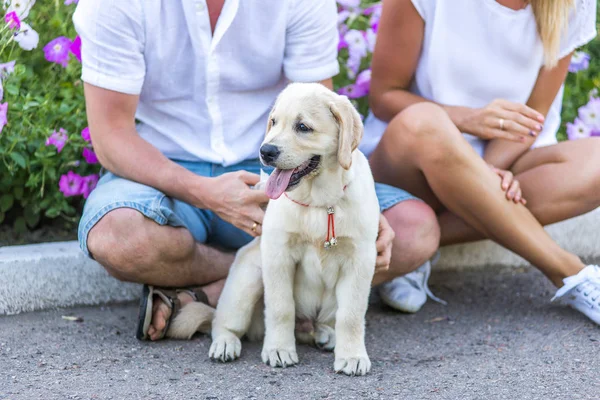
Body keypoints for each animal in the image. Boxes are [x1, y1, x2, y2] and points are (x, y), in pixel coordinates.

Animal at [175, 83, 380, 376]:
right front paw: (279, 349)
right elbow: (281, 308)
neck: (319, 203)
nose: (266, 151)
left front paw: (351, 355)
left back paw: (325, 334)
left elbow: (351, 315)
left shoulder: (360, 260)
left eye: (303, 127)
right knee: (222, 322)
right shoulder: (277, 254)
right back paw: (226, 343)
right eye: (273, 122)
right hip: (248, 276)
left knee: (320, 324)